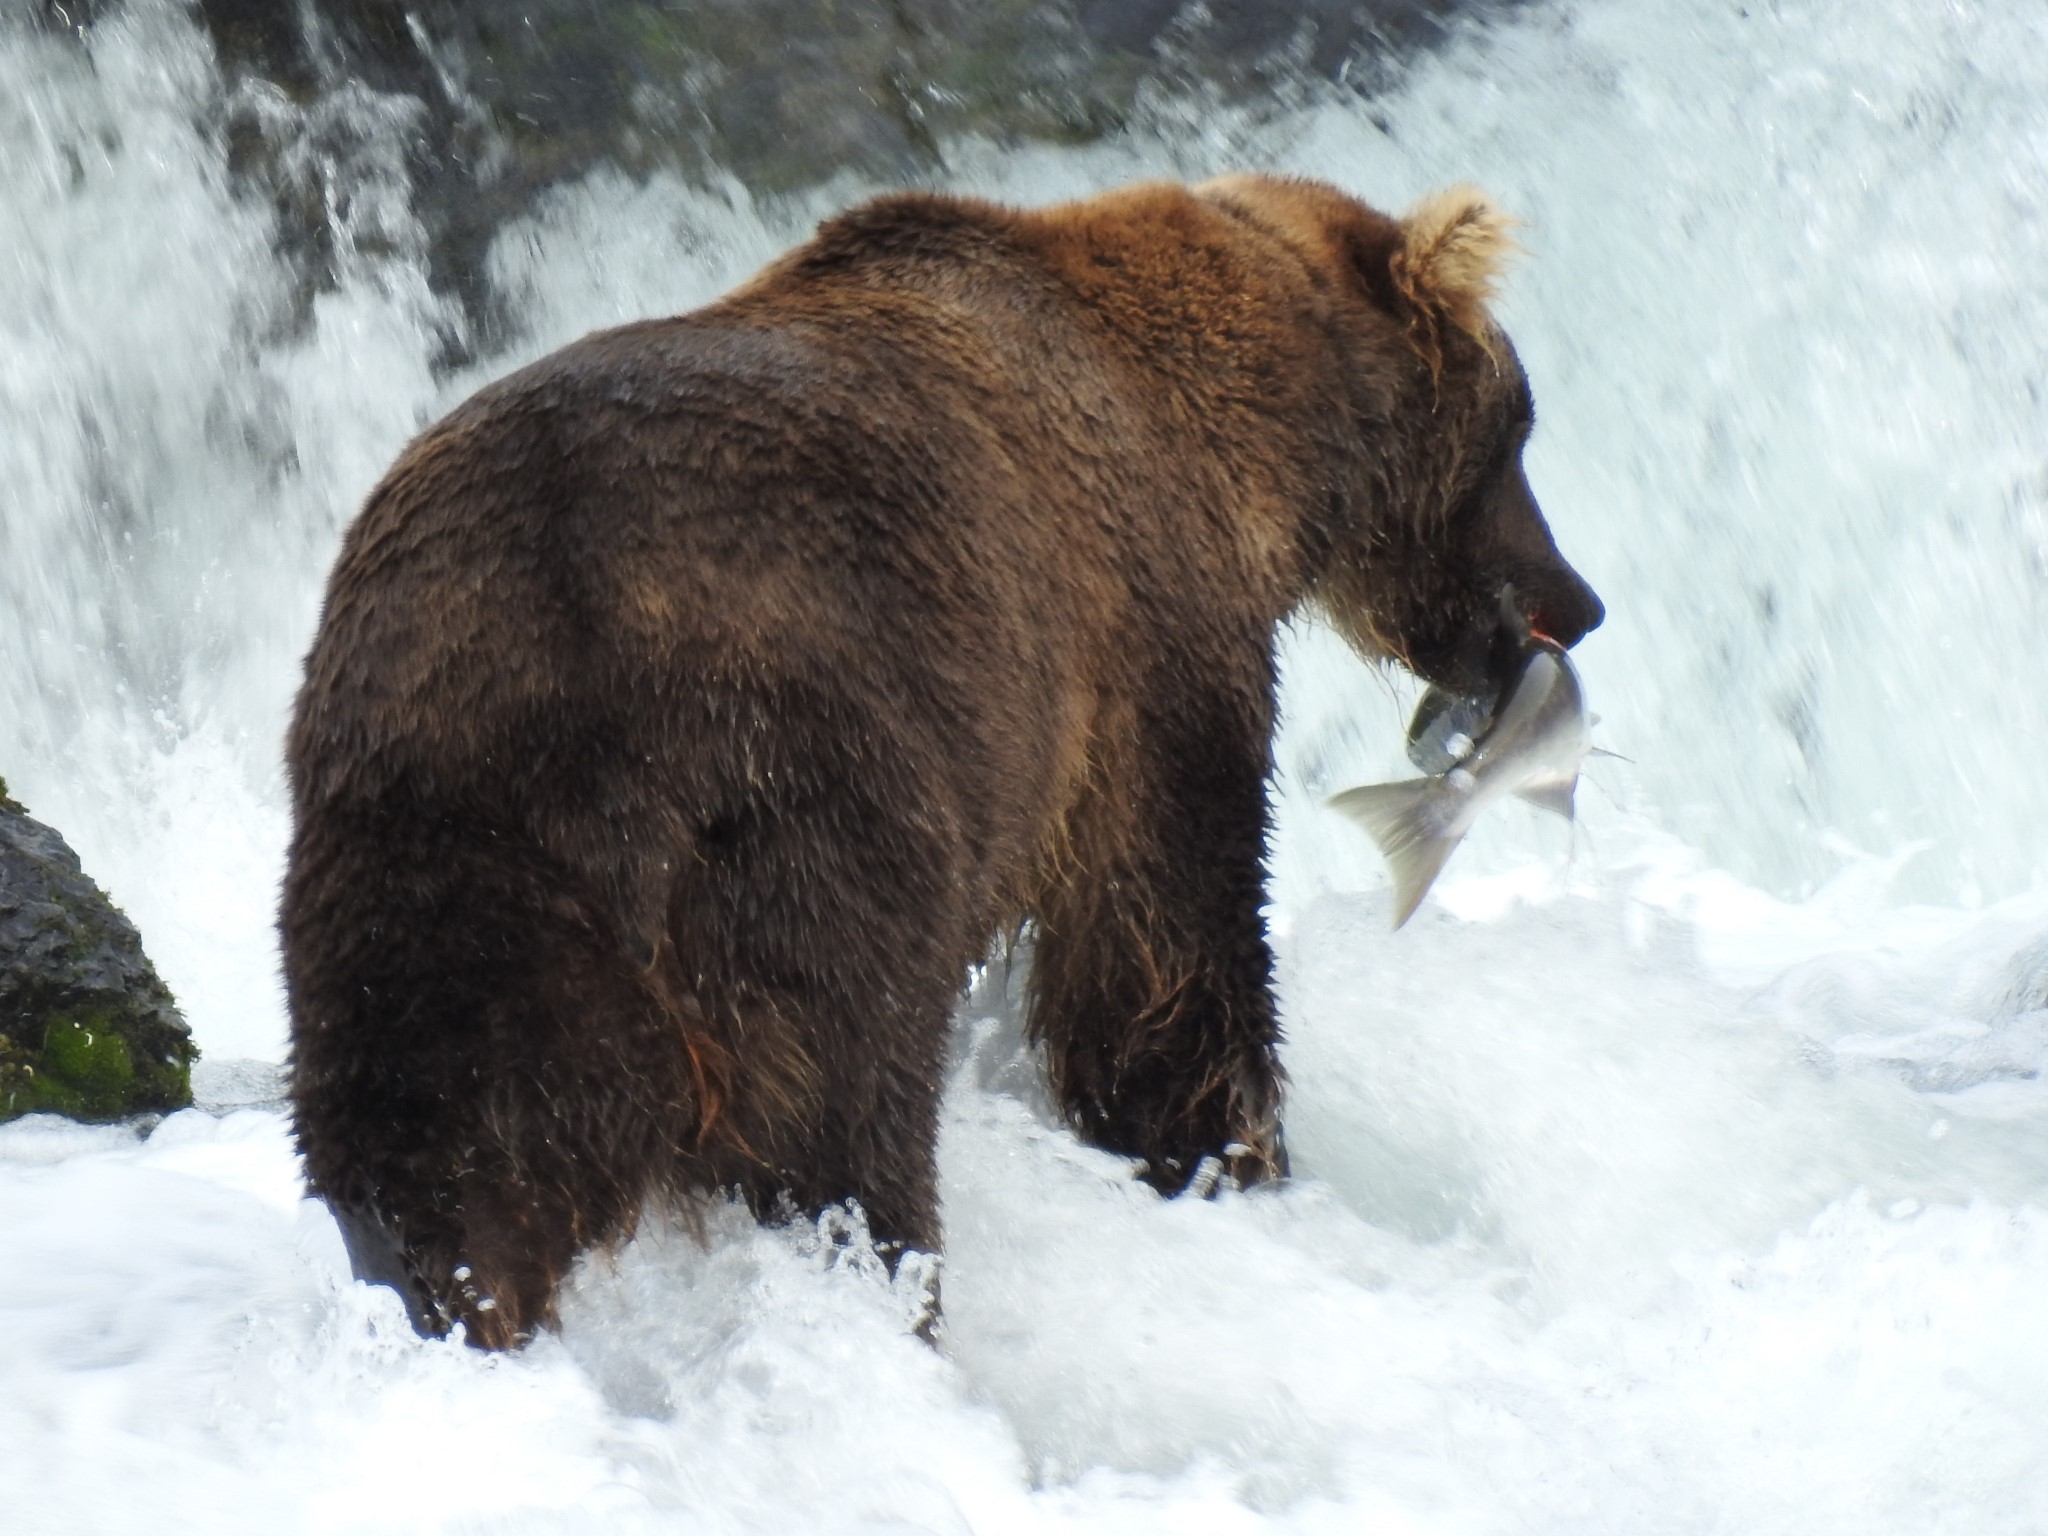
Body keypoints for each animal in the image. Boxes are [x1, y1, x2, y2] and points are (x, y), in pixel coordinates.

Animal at [280, 177, 1605, 1343]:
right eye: (1516, 427)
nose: (1576, 602)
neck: (1252, 442)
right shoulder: (1142, 640)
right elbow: (1164, 941)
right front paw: (1220, 1154)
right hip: (810, 791)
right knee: (839, 1115)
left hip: (434, 856)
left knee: (441, 1161)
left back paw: (449, 1308)